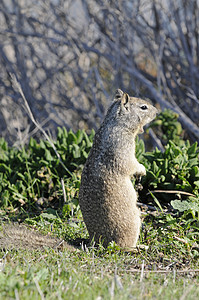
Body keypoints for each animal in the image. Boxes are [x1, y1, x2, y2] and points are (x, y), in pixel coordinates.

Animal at [78, 88, 158, 248]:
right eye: (143, 107)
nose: (157, 112)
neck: (117, 123)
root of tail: (99, 241)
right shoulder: (123, 147)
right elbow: (131, 164)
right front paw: (142, 170)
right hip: (134, 221)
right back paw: (140, 246)